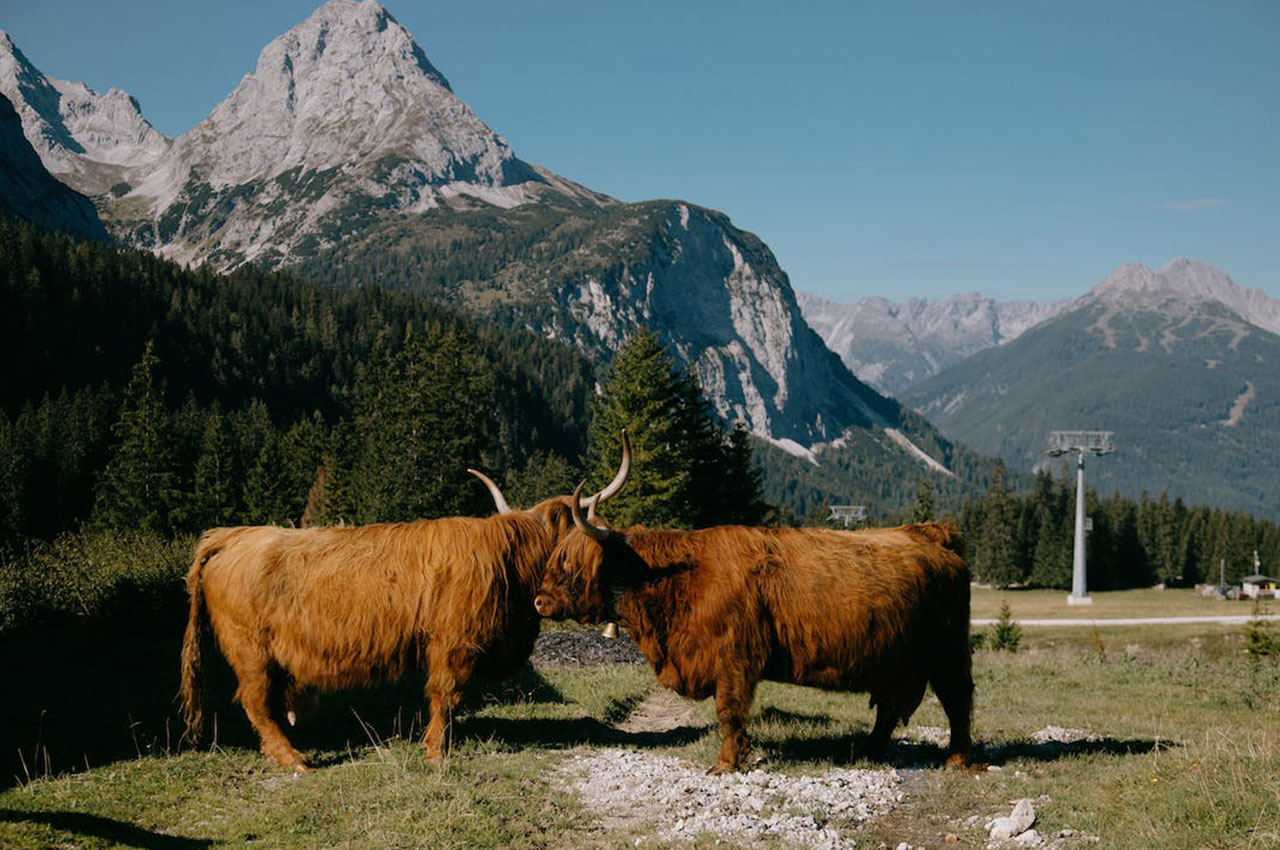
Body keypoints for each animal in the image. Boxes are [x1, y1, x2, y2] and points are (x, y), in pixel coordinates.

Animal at [181, 437, 629, 768]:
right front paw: (435, 751)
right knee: (256, 703)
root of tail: (230, 536)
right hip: (250, 652)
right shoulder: (454, 643)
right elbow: (447, 695)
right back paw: (294, 759)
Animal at [532, 489, 967, 773]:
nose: (538, 601)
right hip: (896, 660)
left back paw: (956, 759)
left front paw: (726, 764)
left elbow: (729, 712)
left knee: (957, 701)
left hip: (948, 652)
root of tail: (933, 534)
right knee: (890, 708)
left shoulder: (734, 659)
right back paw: (869, 752)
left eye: (566, 563)